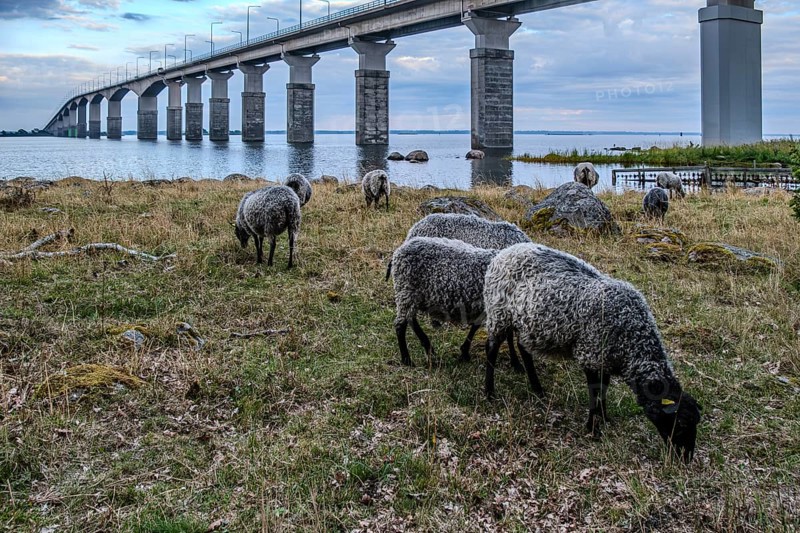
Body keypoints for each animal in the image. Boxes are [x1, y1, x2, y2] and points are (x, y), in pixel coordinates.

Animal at [389, 237, 517, 367]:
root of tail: (398, 252)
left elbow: (476, 326)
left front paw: (464, 352)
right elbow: (508, 336)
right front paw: (516, 362)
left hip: (411, 295)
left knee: (411, 319)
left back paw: (428, 348)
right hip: (406, 290)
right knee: (400, 324)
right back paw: (407, 360)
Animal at [482, 243, 702, 461]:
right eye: (680, 424)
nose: (686, 459)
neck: (631, 338)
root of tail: (506, 251)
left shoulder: (605, 359)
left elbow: (604, 388)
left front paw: (604, 417)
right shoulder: (590, 354)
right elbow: (594, 389)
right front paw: (592, 426)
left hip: (526, 323)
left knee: (523, 349)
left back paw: (537, 388)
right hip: (499, 312)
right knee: (491, 348)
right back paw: (489, 392)